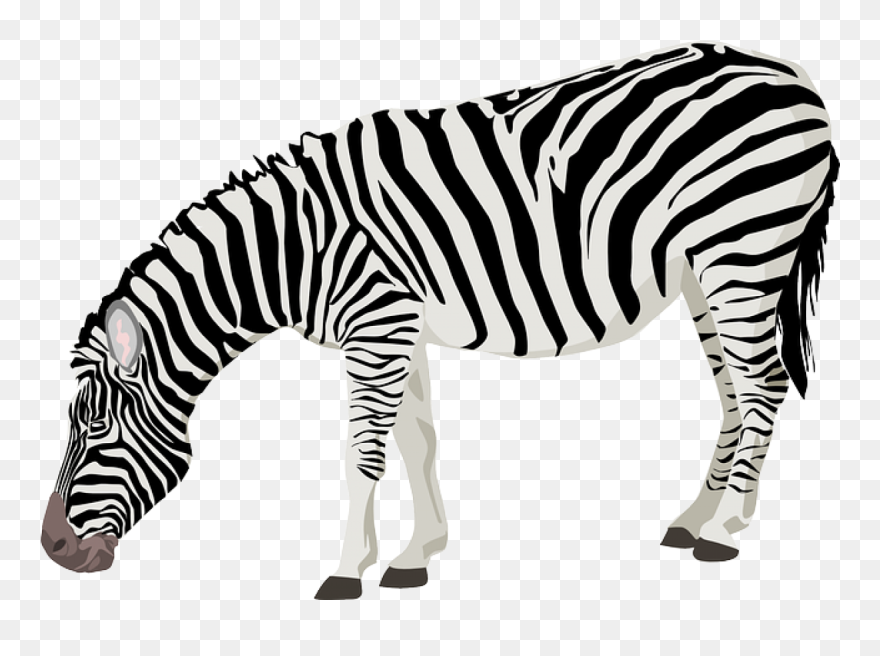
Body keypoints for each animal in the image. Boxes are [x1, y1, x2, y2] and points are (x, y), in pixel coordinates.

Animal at [42, 42, 838, 599]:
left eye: (96, 428)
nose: (51, 551)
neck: (292, 249)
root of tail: (797, 79)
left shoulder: (378, 323)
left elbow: (364, 452)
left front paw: (345, 570)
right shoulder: (398, 327)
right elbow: (416, 443)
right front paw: (415, 556)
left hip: (743, 249)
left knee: (763, 383)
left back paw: (727, 532)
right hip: (707, 274)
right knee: (736, 392)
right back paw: (698, 517)